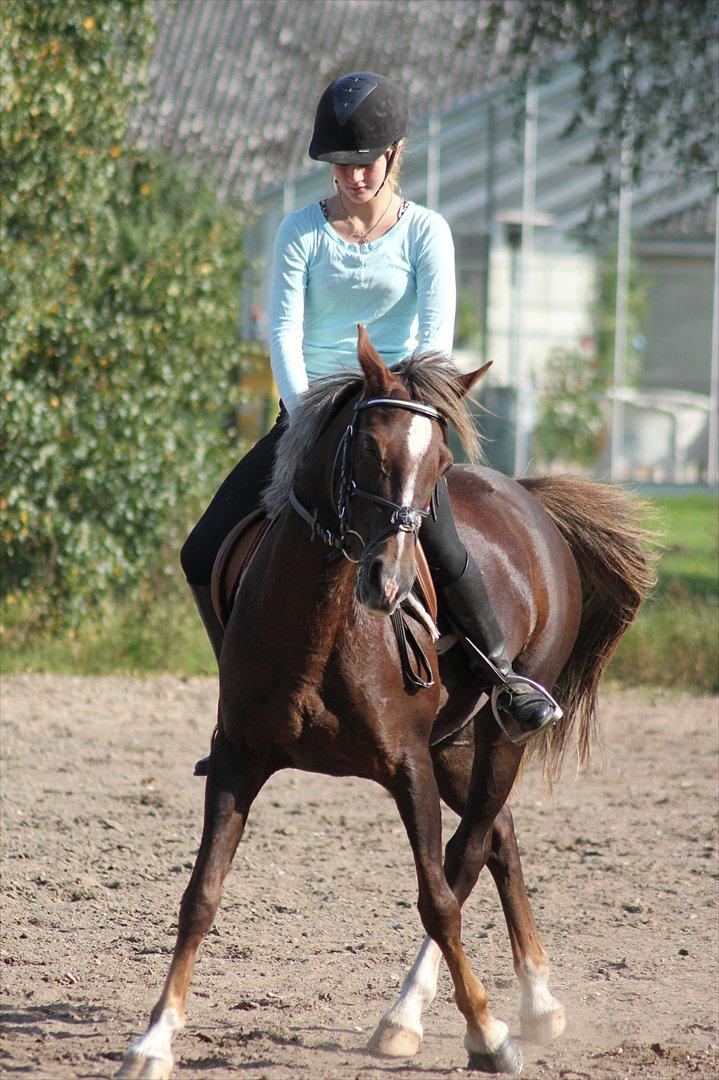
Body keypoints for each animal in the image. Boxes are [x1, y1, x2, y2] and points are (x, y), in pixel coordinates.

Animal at [116, 324, 647, 1075]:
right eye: (367, 448)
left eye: (441, 461)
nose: (389, 583)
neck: (318, 624)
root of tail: (525, 496)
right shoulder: (238, 758)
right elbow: (200, 896)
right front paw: (155, 1038)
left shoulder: (407, 765)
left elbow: (438, 898)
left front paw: (488, 1036)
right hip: (454, 743)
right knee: (500, 840)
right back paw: (537, 1003)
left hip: (497, 738)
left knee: (468, 853)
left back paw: (416, 1014)